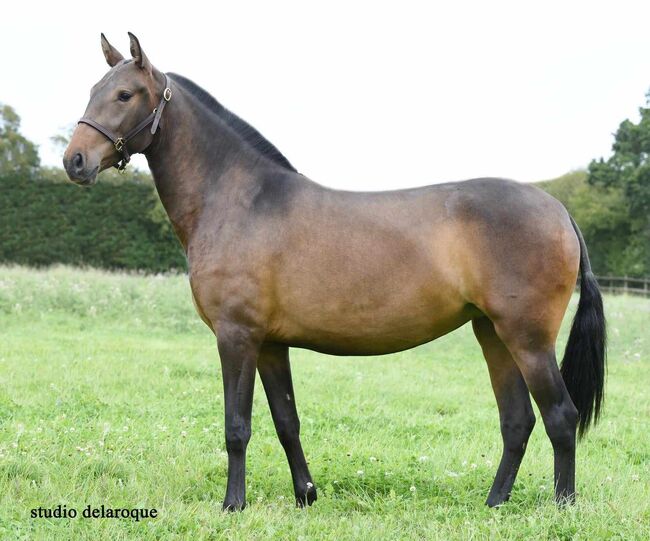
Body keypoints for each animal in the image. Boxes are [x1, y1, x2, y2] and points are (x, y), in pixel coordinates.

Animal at [63, 34, 604, 510]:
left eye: (125, 94)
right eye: (92, 90)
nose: (75, 161)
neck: (239, 199)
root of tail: (559, 210)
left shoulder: (236, 336)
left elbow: (237, 426)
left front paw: (233, 504)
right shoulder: (269, 344)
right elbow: (287, 422)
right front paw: (306, 496)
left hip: (527, 338)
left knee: (560, 416)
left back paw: (562, 506)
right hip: (491, 332)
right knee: (517, 421)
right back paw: (494, 504)